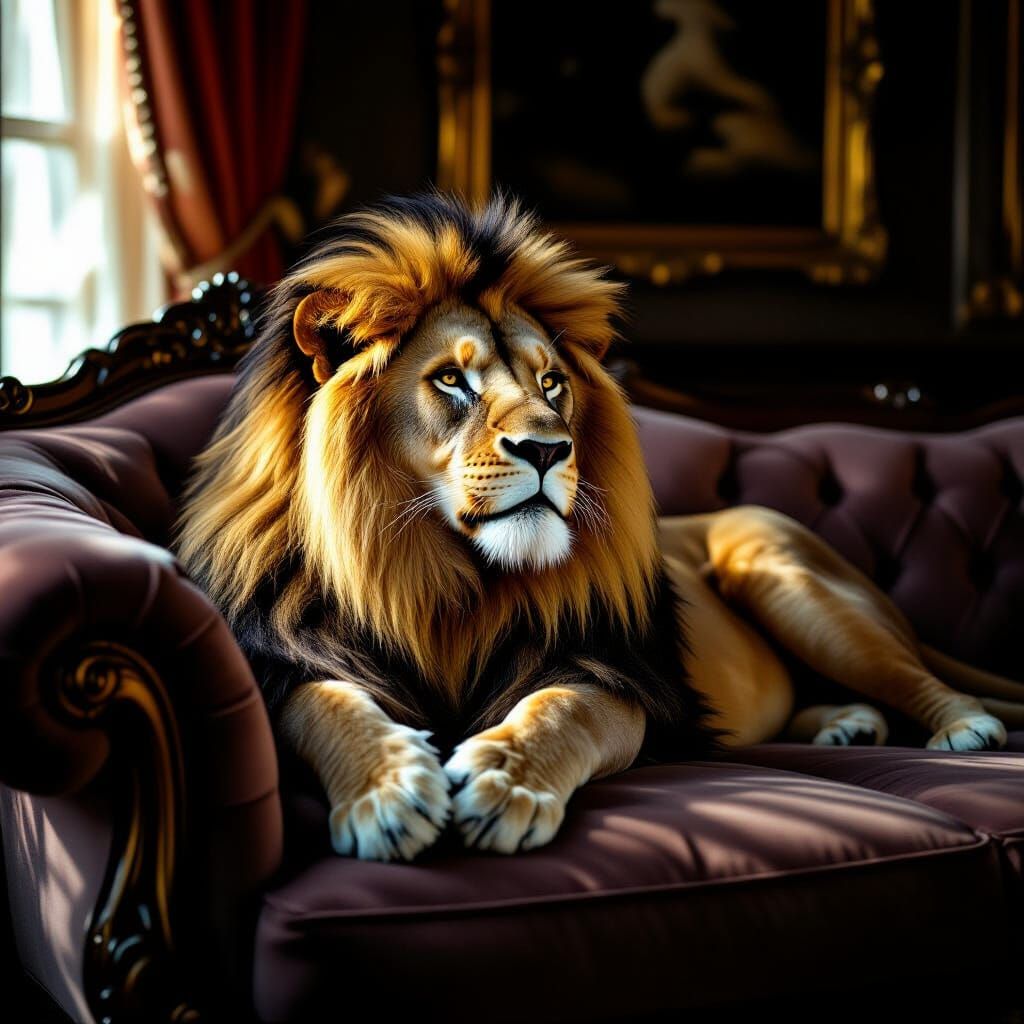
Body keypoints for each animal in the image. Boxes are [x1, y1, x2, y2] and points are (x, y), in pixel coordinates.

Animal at [176, 192, 1024, 862]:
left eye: (552, 382)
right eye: (451, 380)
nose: (550, 448)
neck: (439, 576)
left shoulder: (617, 675)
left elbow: (562, 708)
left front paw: (504, 781)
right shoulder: (287, 658)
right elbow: (328, 703)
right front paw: (388, 793)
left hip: (789, 580)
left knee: (922, 679)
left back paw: (966, 730)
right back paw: (847, 724)